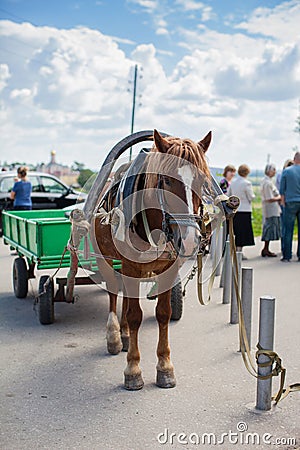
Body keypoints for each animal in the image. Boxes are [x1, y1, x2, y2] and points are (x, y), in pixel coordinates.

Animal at [91, 130, 211, 390]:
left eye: (202, 181)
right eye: (165, 181)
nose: (190, 239)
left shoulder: (168, 268)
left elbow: (163, 313)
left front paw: (165, 367)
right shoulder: (129, 265)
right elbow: (135, 315)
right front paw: (133, 369)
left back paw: (125, 335)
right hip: (106, 258)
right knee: (113, 292)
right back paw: (114, 336)